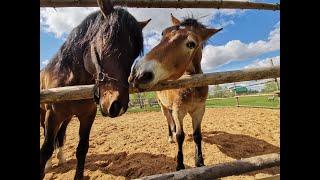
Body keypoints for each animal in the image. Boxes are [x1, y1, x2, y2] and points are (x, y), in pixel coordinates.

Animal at [39, 0, 150, 179]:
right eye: (107, 40)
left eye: (134, 54)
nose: (117, 105)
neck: (73, 83)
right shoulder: (53, 115)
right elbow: (46, 149)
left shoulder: (87, 116)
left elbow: (82, 149)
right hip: (44, 115)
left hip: (66, 118)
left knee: (61, 136)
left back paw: (61, 158)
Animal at [129, 13, 221, 170]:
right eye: (163, 33)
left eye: (191, 44)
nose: (138, 73)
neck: (191, 86)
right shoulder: (179, 111)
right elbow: (180, 136)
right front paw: (180, 164)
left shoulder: (199, 110)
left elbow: (197, 135)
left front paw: (199, 161)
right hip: (163, 107)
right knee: (168, 121)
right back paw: (170, 137)